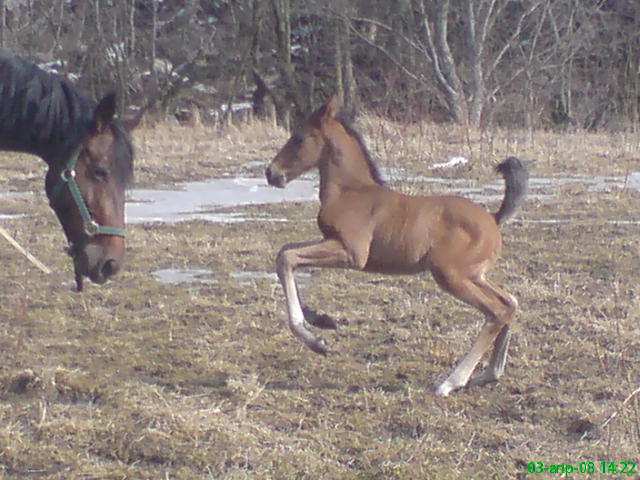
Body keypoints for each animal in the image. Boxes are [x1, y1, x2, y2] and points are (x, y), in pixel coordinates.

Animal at [264, 94, 528, 398]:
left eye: (298, 138)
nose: (271, 173)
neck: (351, 192)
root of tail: (494, 219)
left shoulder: (352, 253)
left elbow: (287, 258)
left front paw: (315, 340)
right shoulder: (330, 242)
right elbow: (285, 252)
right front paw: (319, 318)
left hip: (451, 275)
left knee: (496, 312)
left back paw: (451, 382)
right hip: (474, 275)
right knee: (510, 303)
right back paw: (489, 374)